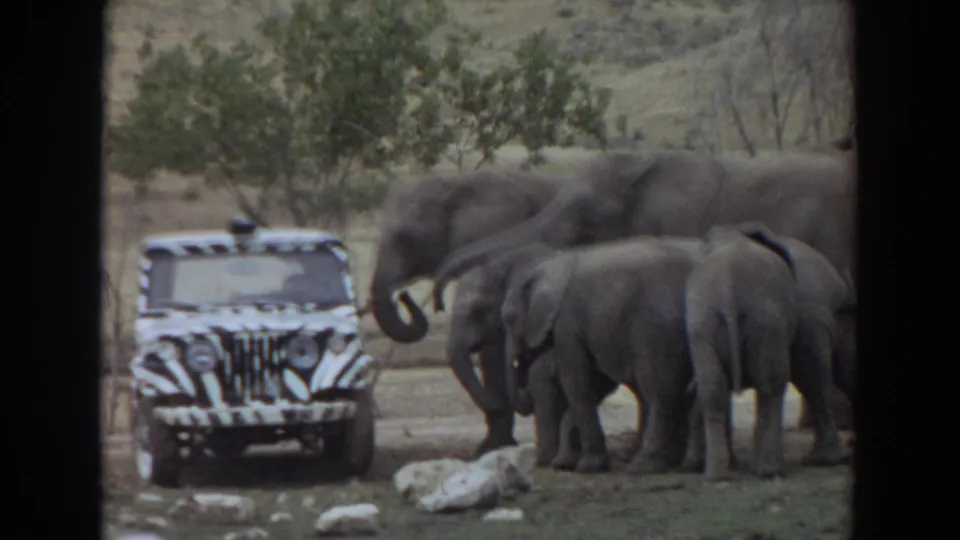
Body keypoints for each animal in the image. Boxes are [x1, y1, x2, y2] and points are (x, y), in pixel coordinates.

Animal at [367, 169, 569, 455]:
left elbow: (494, 343)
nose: (404, 296)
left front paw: (491, 446)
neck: (454, 185)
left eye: (406, 238)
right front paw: (492, 444)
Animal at [495, 236, 705, 474]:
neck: (550, 265)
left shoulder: (567, 322)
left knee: (658, 391)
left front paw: (588, 465)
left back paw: (642, 465)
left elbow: (576, 381)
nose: (524, 389)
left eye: (509, 318)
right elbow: (595, 379)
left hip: (658, 329)